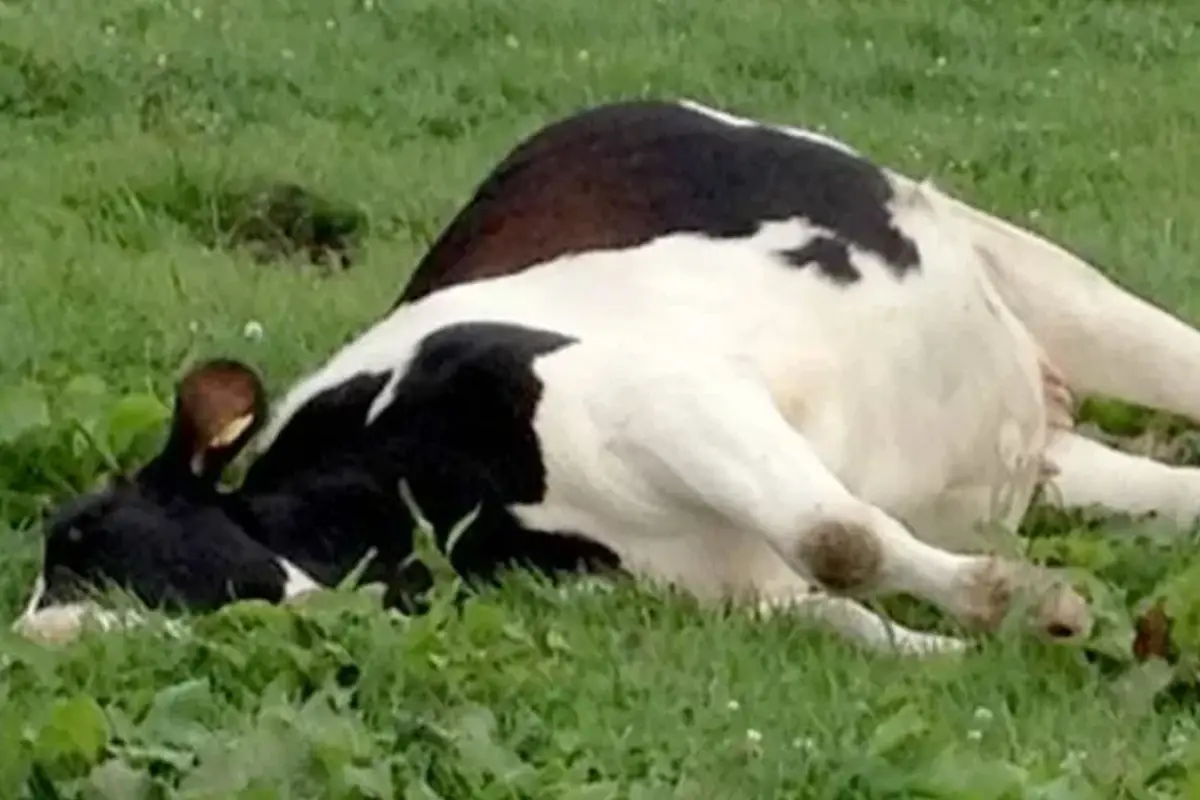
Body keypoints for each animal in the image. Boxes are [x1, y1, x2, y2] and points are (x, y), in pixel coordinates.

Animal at [15, 98, 1200, 656]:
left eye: (81, 541)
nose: (25, 641)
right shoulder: (710, 586)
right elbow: (839, 615)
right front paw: (984, 647)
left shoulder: (668, 400)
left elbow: (839, 535)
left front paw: (1028, 600)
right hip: (1039, 457)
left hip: (1035, 272)